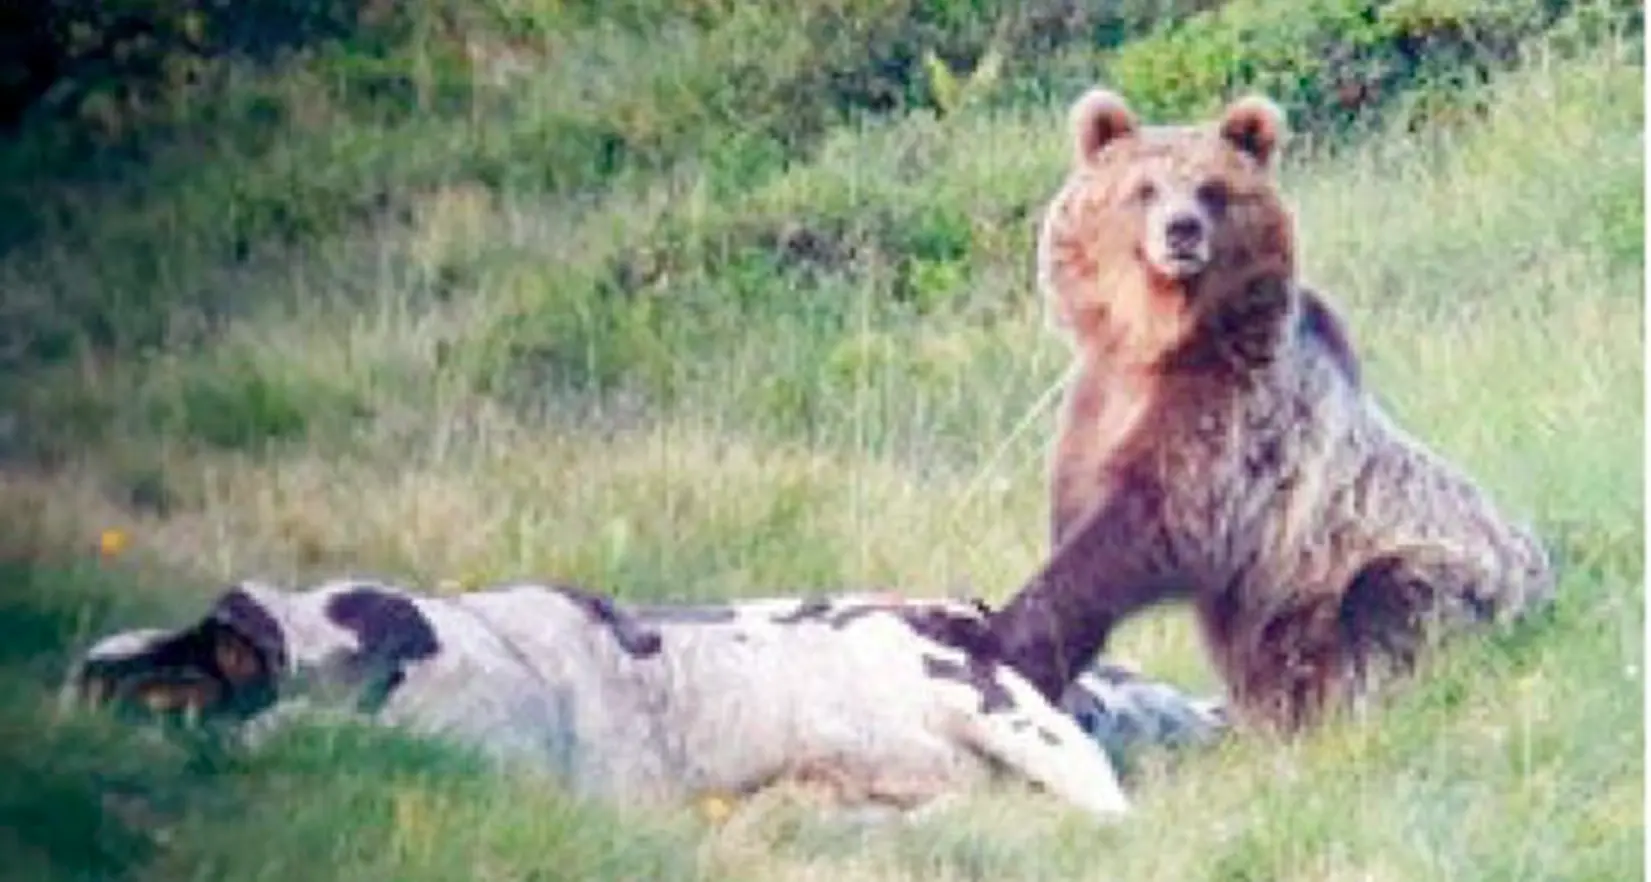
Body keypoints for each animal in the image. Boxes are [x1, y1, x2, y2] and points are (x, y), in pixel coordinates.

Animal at [985, 87, 1556, 734]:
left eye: (1212, 188)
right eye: (1145, 188)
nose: (1182, 230)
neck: (1159, 346)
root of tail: (1547, 577)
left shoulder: (1235, 423)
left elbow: (1149, 524)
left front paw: (998, 633)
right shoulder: (1096, 411)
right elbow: (1080, 516)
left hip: (1430, 566)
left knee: (1384, 605)